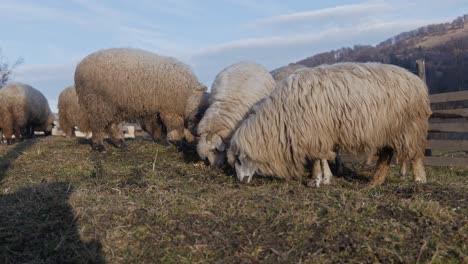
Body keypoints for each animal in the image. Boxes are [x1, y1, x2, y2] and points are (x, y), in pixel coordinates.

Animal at [75, 47, 207, 151]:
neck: (189, 96)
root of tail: (79, 67)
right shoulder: (170, 110)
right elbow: (176, 128)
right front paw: (178, 142)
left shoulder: (154, 109)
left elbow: (155, 126)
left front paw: (161, 140)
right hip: (97, 102)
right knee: (97, 125)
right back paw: (99, 146)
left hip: (111, 106)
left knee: (111, 125)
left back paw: (120, 143)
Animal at [227, 62, 432, 187]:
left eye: (239, 159)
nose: (240, 180)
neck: (279, 117)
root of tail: (416, 80)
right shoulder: (321, 135)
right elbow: (322, 157)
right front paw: (325, 178)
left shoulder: (313, 133)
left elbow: (317, 159)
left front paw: (316, 179)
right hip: (387, 129)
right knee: (386, 155)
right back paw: (375, 182)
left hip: (409, 126)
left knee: (415, 154)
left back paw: (419, 179)